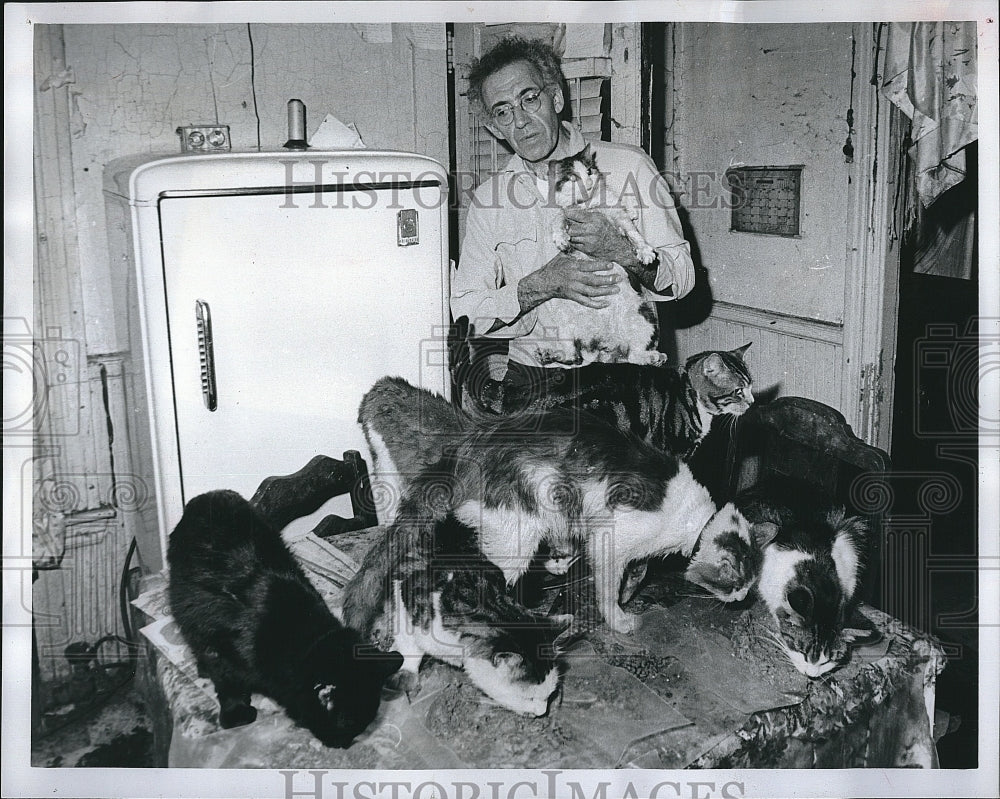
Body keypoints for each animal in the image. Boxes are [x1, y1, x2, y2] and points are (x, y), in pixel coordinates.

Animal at [165, 488, 402, 752]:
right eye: (347, 726)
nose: (344, 745)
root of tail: (209, 494)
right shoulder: (221, 651)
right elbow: (228, 684)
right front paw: (236, 712)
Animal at [532, 145, 664, 368]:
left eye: (589, 171)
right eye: (572, 178)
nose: (588, 183)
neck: (587, 206)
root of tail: (604, 344)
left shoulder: (617, 215)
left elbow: (633, 232)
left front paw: (645, 252)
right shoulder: (568, 213)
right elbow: (558, 218)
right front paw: (561, 238)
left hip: (641, 318)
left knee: (634, 356)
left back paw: (654, 357)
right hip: (564, 320)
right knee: (572, 356)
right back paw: (548, 354)